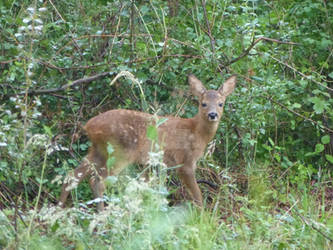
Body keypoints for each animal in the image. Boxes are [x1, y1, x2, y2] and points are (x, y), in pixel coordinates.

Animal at [59, 73, 236, 210]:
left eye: (221, 103)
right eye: (203, 103)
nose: (212, 114)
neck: (197, 132)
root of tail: (88, 126)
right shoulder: (185, 161)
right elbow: (197, 195)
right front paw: (202, 217)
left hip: (98, 150)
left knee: (72, 175)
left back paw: (59, 210)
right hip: (120, 152)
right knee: (97, 182)